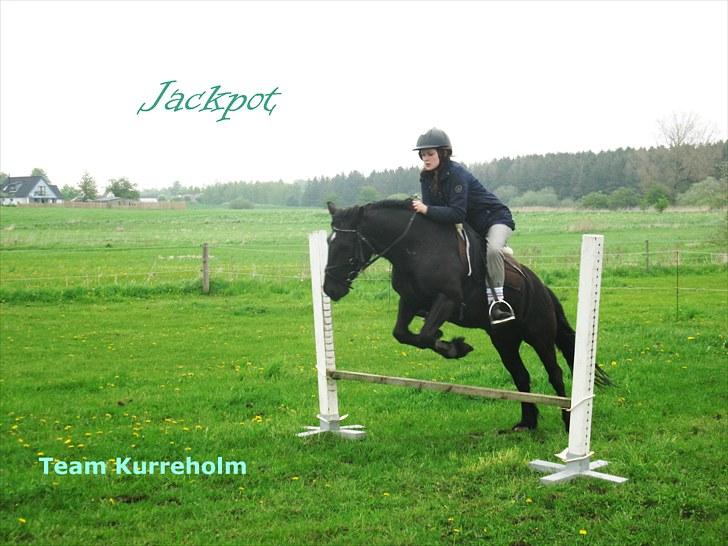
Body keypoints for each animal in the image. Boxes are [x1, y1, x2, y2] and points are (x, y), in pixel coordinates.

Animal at [323, 199, 609, 432]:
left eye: (345, 245)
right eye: (327, 243)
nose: (329, 289)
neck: (417, 247)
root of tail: (542, 288)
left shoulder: (448, 299)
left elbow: (424, 335)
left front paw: (455, 347)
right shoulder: (410, 301)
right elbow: (404, 334)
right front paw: (450, 343)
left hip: (540, 335)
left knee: (555, 374)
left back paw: (567, 421)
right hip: (504, 340)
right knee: (521, 375)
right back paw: (527, 422)